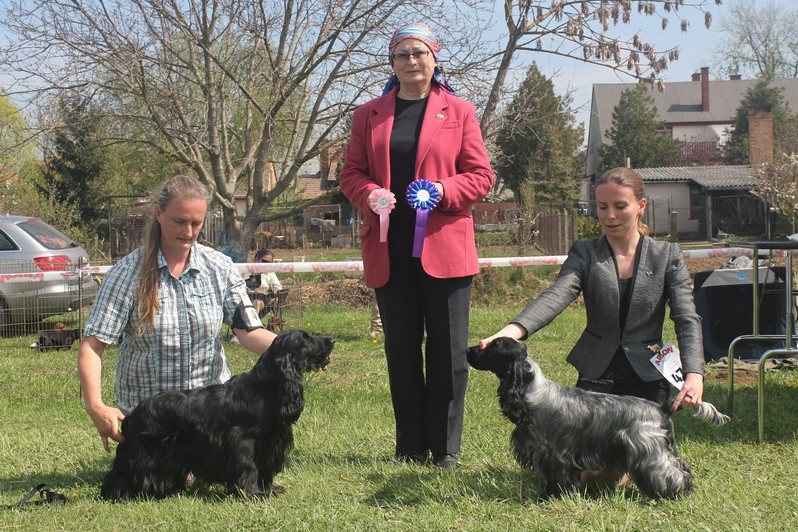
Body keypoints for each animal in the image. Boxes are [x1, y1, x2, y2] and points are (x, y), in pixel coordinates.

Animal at [100, 329, 334, 501]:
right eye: (306, 339)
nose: (332, 339)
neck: (266, 388)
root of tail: (133, 414)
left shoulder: (269, 443)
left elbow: (264, 469)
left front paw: (269, 490)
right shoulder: (243, 440)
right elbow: (249, 467)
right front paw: (251, 494)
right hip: (142, 452)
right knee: (121, 472)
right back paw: (116, 494)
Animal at [467, 337, 729, 500]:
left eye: (493, 347)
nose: (468, 350)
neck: (532, 390)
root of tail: (661, 407)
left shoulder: (553, 453)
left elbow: (556, 477)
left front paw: (549, 497)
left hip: (648, 450)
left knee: (669, 472)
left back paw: (674, 493)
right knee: (681, 465)